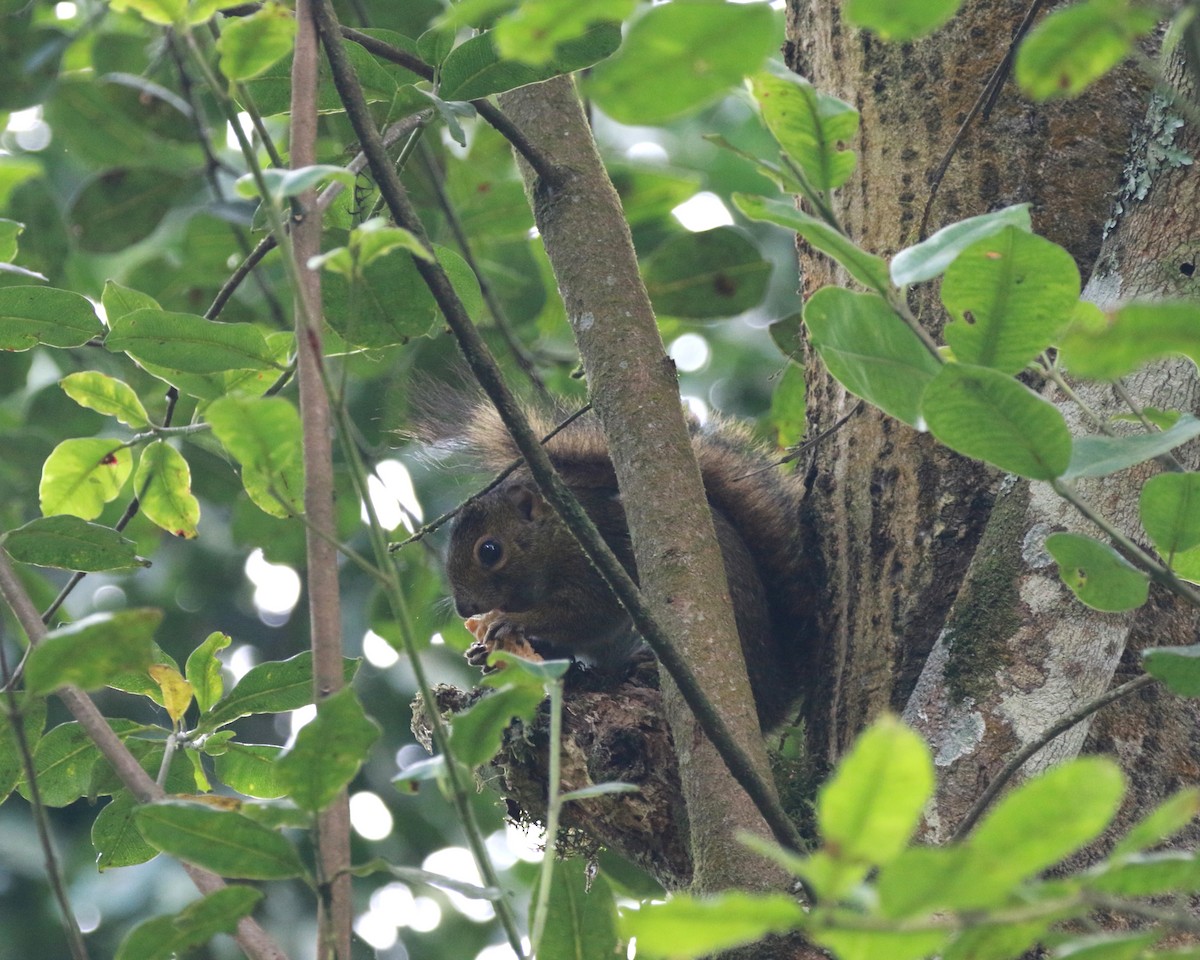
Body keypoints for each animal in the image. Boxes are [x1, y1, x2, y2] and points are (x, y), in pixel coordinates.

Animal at [420, 391, 815, 732]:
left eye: (489, 551)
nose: (464, 608)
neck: (556, 539)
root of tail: (772, 697)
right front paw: (480, 652)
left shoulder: (599, 563)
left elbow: (586, 614)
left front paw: (512, 622)